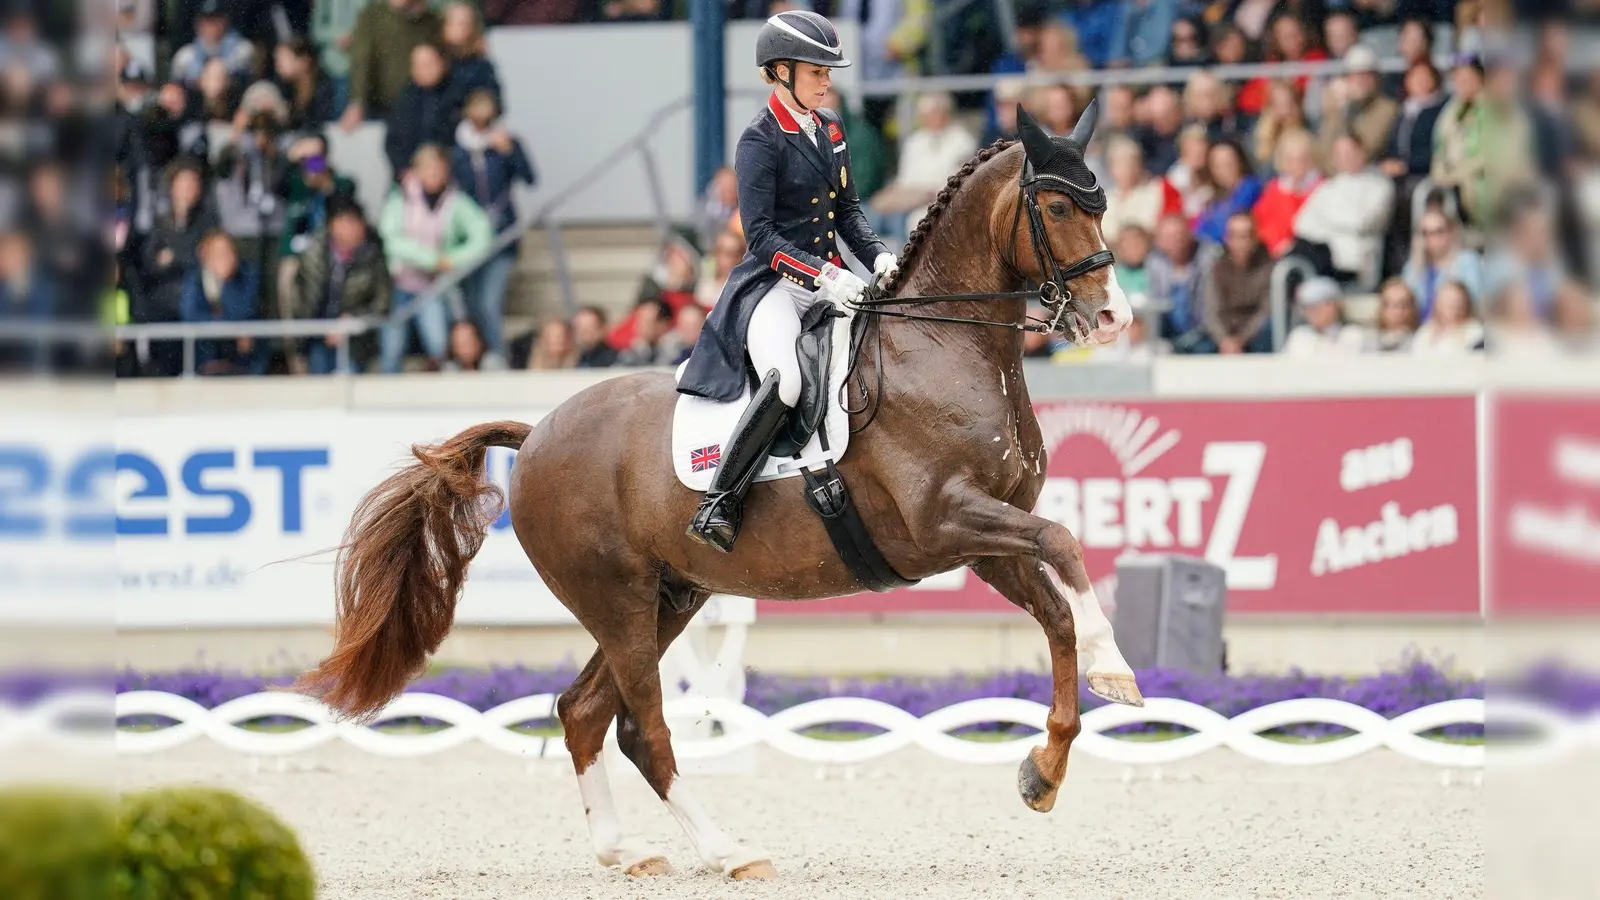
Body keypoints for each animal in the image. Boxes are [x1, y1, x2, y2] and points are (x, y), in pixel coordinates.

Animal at [300, 103, 1145, 877]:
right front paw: (1118, 669)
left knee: (586, 713)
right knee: (643, 726)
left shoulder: (983, 538)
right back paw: (726, 851)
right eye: (1059, 207)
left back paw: (626, 850)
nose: (1113, 317)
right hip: (618, 600)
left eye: (1103, 202)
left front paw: (1045, 770)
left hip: (669, 596)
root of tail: (537, 434)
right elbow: (1065, 544)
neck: (939, 345)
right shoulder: (946, 521)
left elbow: (1056, 613)